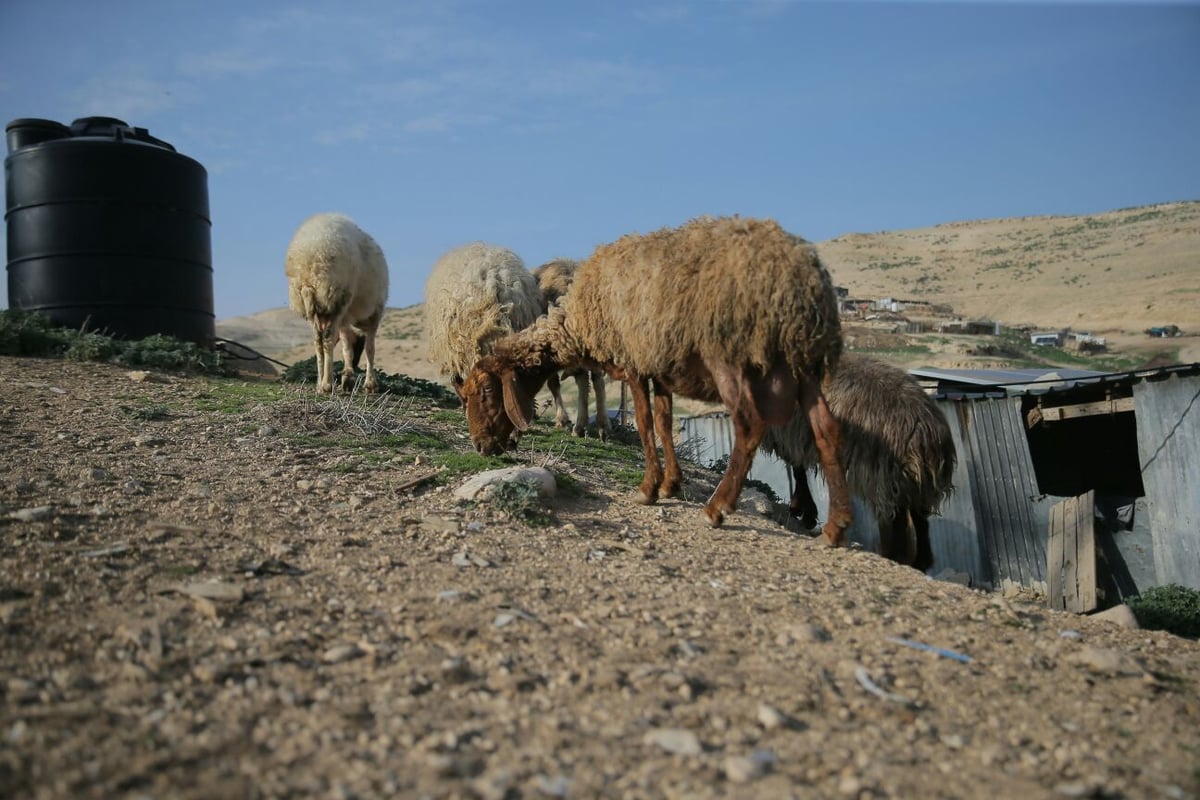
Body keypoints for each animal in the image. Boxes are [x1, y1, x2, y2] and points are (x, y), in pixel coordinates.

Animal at [285, 212, 388, 393]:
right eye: (359, 345)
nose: (355, 366)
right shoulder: (375, 312)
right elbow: (370, 348)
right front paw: (369, 383)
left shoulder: (344, 320)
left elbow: (346, 347)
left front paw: (346, 378)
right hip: (338, 296)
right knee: (327, 338)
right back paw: (327, 384)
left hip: (312, 306)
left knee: (318, 341)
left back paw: (321, 384)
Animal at [763, 352, 960, 573]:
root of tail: (924, 430)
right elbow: (798, 469)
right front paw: (806, 512)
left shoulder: (789, 434)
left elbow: (798, 469)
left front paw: (802, 510)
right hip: (916, 482)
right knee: (920, 517)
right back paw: (920, 562)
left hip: (885, 476)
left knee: (896, 518)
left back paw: (894, 556)